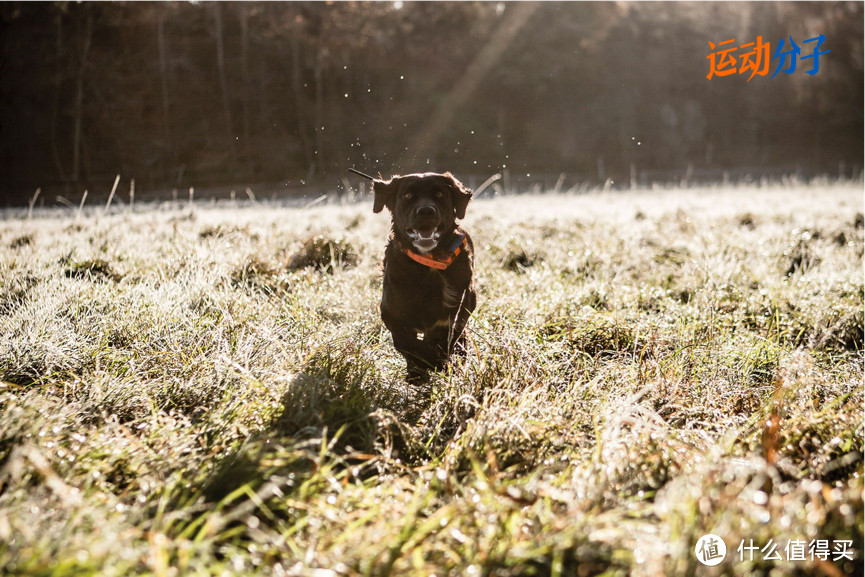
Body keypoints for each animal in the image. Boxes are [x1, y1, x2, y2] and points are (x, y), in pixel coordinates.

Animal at [370, 171, 476, 382]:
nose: (426, 211)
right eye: (408, 195)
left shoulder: (450, 313)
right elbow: (406, 343)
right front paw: (418, 370)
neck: (428, 263)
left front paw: (437, 363)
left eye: (440, 194)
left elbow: (442, 339)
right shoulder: (391, 314)